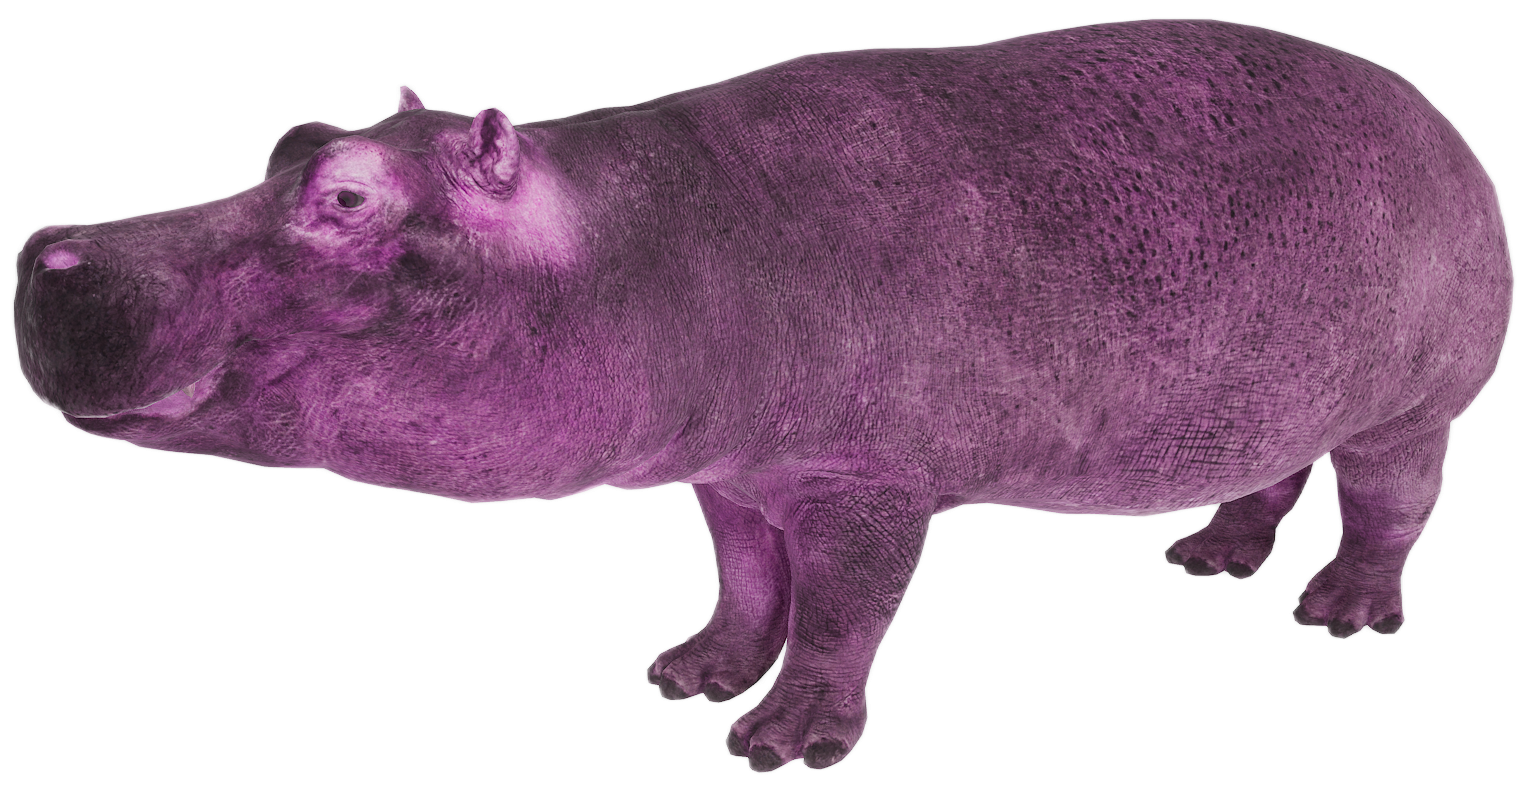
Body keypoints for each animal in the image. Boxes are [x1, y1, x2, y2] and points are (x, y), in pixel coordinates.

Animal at [9, 18, 1515, 772]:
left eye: (347, 197)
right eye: (293, 135)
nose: (47, 245)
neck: (630, 239)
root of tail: (1439, 113)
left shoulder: (866, 480)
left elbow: (843, 609)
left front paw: (781, 745)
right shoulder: (731, 469)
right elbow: (744, 577)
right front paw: (688, 676)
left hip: (1415, 401)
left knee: (1391, 502)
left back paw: (1339, 615)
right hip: (1279, 384)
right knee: (1273, 462)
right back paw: (1209, 558)